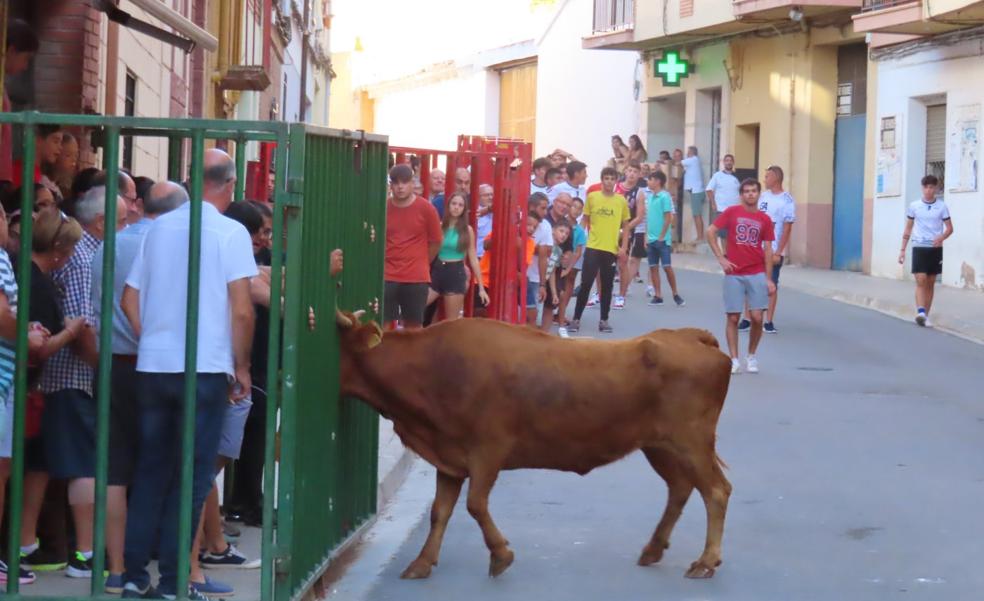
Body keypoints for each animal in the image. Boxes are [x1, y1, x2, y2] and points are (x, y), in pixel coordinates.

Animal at [336, 308, 732, 580]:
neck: (434, 365)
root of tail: (691, 336)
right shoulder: (449, 457)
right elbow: (440, 512)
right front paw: (421, 562)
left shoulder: (488, 450)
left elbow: (475, 505)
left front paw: (500, 555)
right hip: (660, 446)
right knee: (680, 488)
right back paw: (653, 549)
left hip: (691, 442)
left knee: (715, 491)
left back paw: (706, 560)